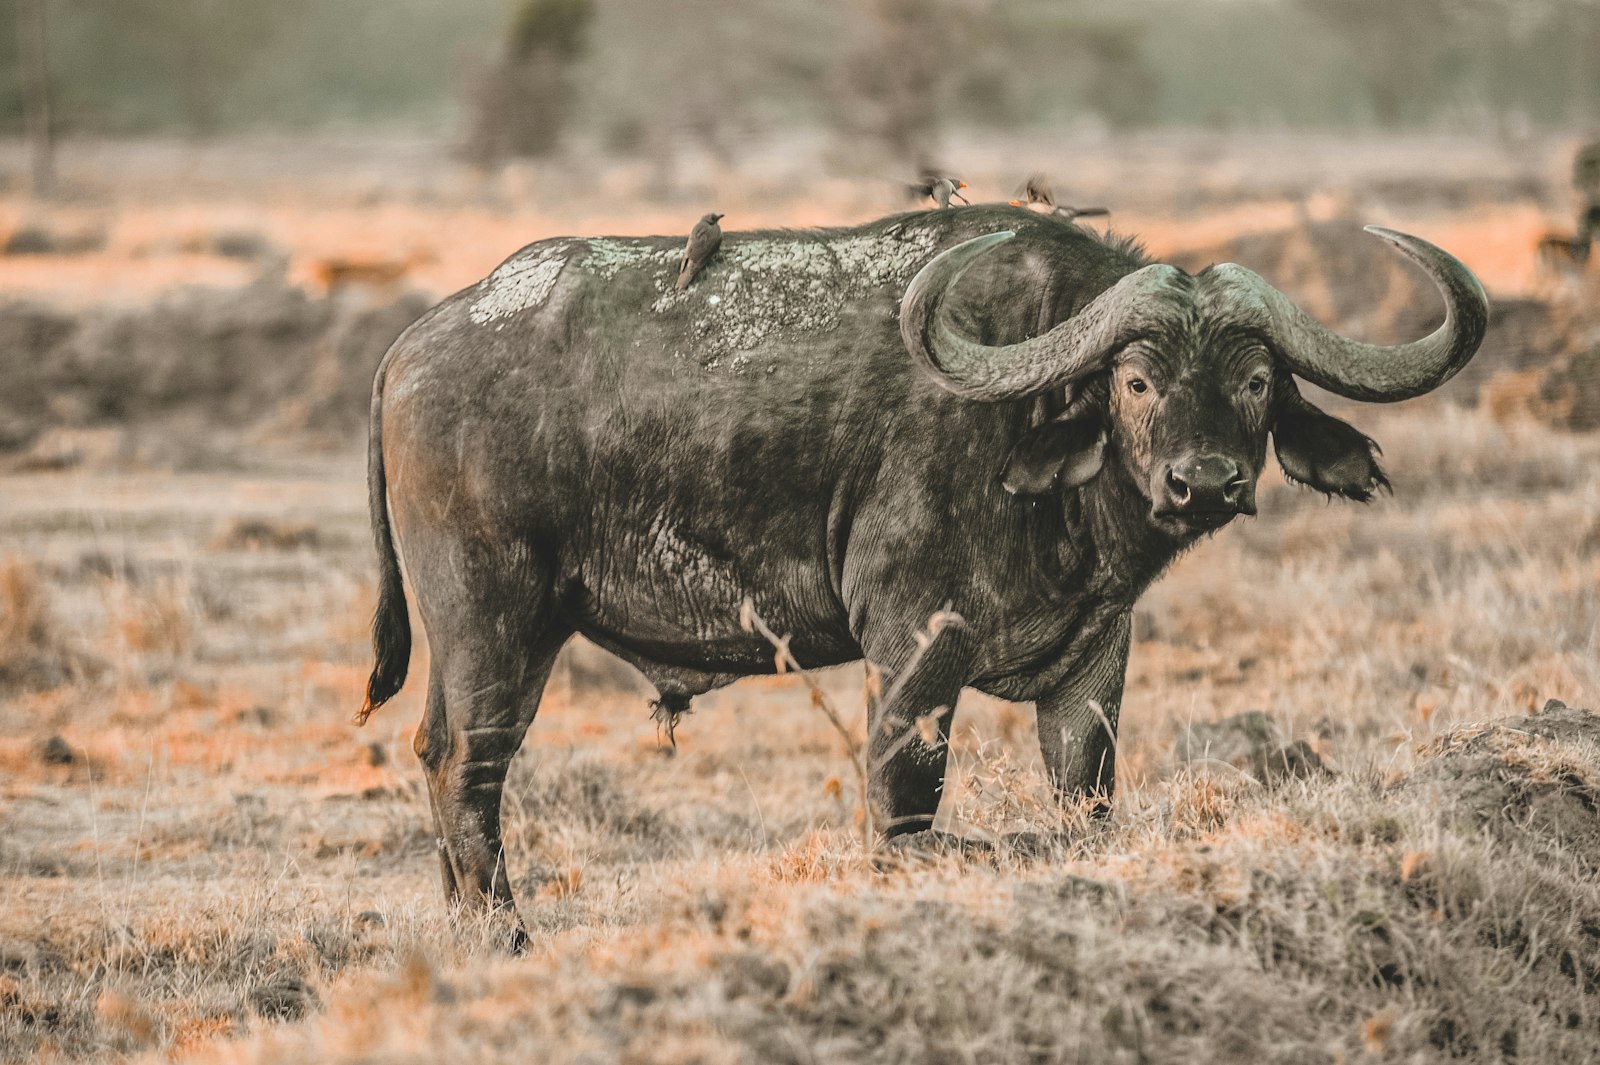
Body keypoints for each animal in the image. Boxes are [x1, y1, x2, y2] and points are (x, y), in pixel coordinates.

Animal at [360, 203, 1484, 940]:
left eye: (1255, 381)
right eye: (1135, 379)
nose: (1202, 481)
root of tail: (417, 342)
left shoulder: (1095, 658)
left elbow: (1087, 796)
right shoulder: (912, 644)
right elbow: (904, 794)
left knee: (437, 752)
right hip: (497, 620)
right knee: (466, 763)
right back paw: (503, 933)